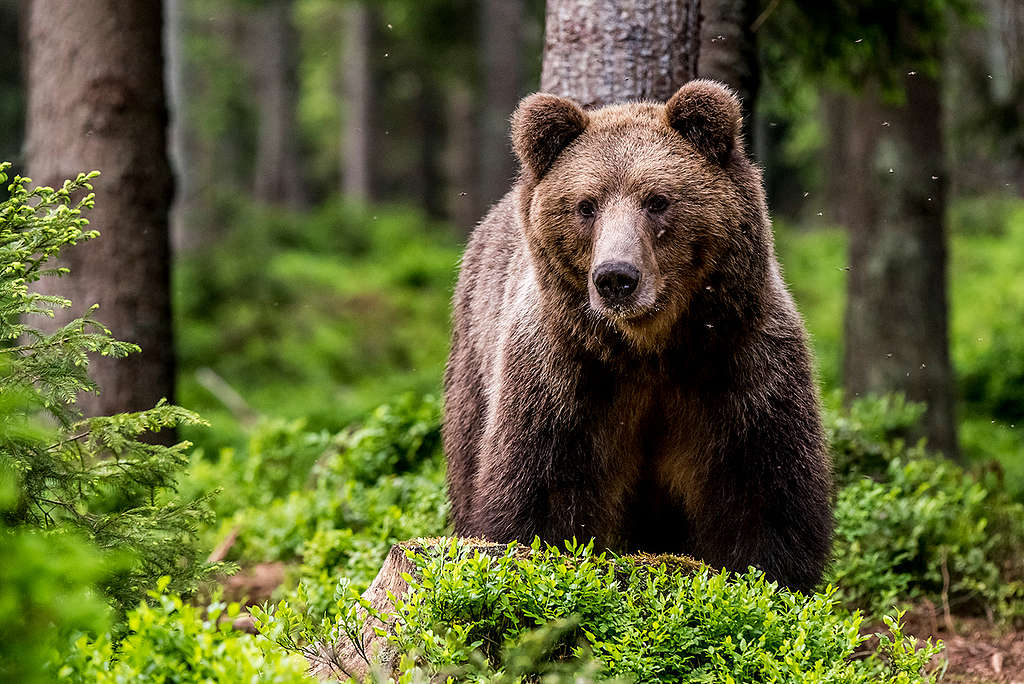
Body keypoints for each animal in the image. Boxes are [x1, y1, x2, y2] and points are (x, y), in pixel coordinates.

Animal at [442, 78, 831, 593]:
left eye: (657, 200)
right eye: (586, 205)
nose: (615, 277)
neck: (651, 351)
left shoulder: (740, 368)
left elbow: (764, 497)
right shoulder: (565, 380)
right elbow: (542, 498)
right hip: (474, 366)